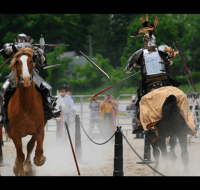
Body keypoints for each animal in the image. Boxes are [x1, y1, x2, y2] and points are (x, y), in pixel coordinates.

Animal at [5, 45, 46, 176]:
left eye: (31, 60)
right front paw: (20, 170)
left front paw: (35, 162)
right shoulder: (15, 133)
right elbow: (20, 154)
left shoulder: (39, 129)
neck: (26, 106)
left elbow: (34, 148)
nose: (26, 80)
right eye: (17, 61)